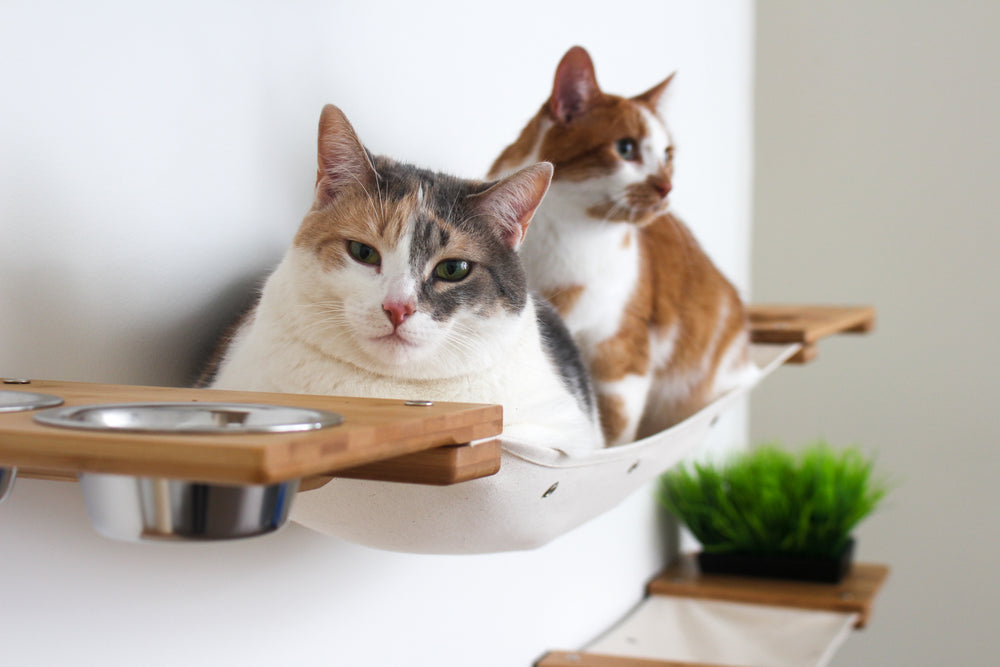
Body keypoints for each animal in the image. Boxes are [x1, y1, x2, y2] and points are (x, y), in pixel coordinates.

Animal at [488, 45, 752, 444]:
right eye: (625, 148)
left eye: (668, 155)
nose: (666, 187)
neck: (567, 234)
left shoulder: (622, 356)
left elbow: (611, 432)